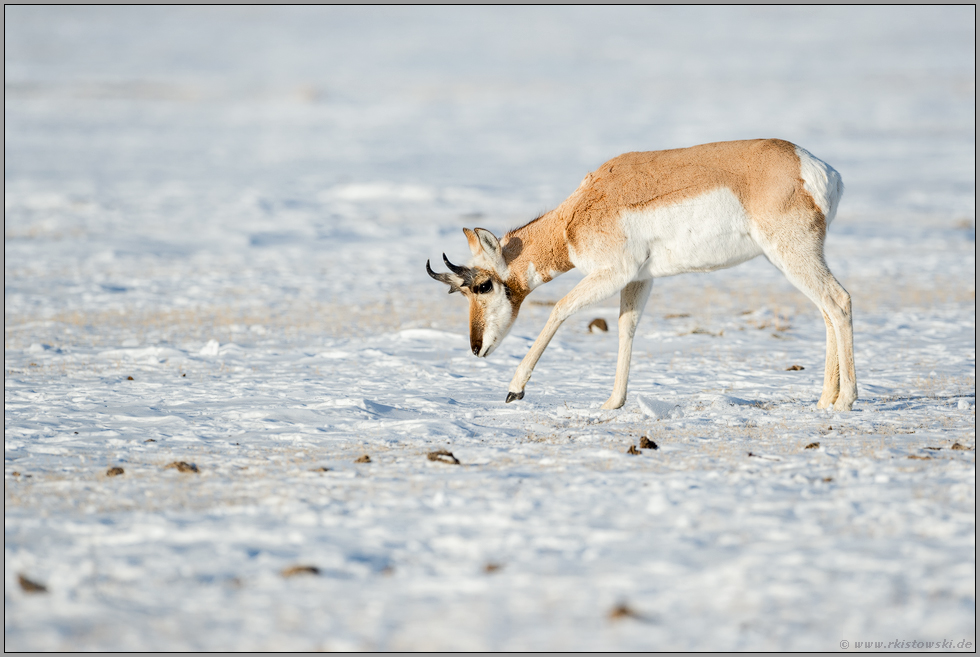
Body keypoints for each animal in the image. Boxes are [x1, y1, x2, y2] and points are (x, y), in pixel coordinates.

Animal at [424, 139, 852, 410]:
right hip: (798, 258)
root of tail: (817, 168)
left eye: (483, 285)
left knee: (838, 301)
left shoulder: (613, 274)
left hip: (792, 255)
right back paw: (824, 401)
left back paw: (846, 401)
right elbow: (626, 327)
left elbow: (560, 308)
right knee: (827, 310)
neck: (574, 216)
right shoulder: (639, 279)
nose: (476, 347)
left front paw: (515, 390)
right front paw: (613, 402)